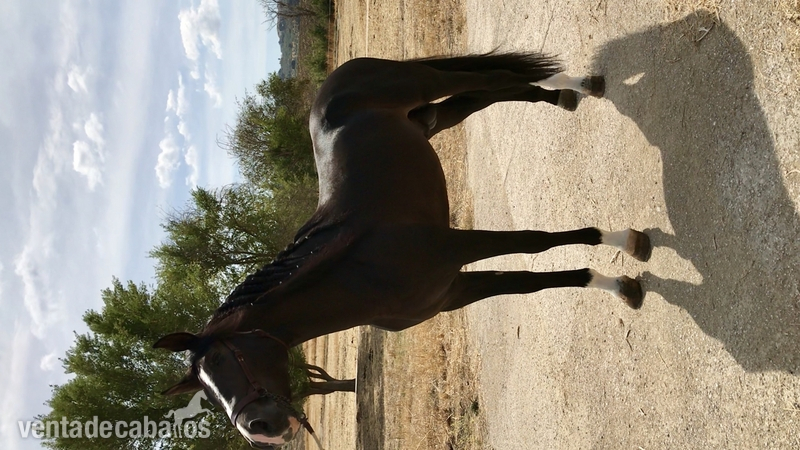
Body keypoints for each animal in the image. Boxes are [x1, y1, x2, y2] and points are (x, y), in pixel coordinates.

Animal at [153, 52, 651, 448]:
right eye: (206, 390)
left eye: (224, 359)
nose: (260, 430)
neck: (363, 272)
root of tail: (338, 77)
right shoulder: (452, 291)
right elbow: (529, 284)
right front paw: (615, 281)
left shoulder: (459, 245)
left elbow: (537, 241)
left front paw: (623, 248)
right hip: (428, 120)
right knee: (487, 94)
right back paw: (563, 95)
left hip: (426, 83)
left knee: (493, 77)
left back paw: (579, 86)